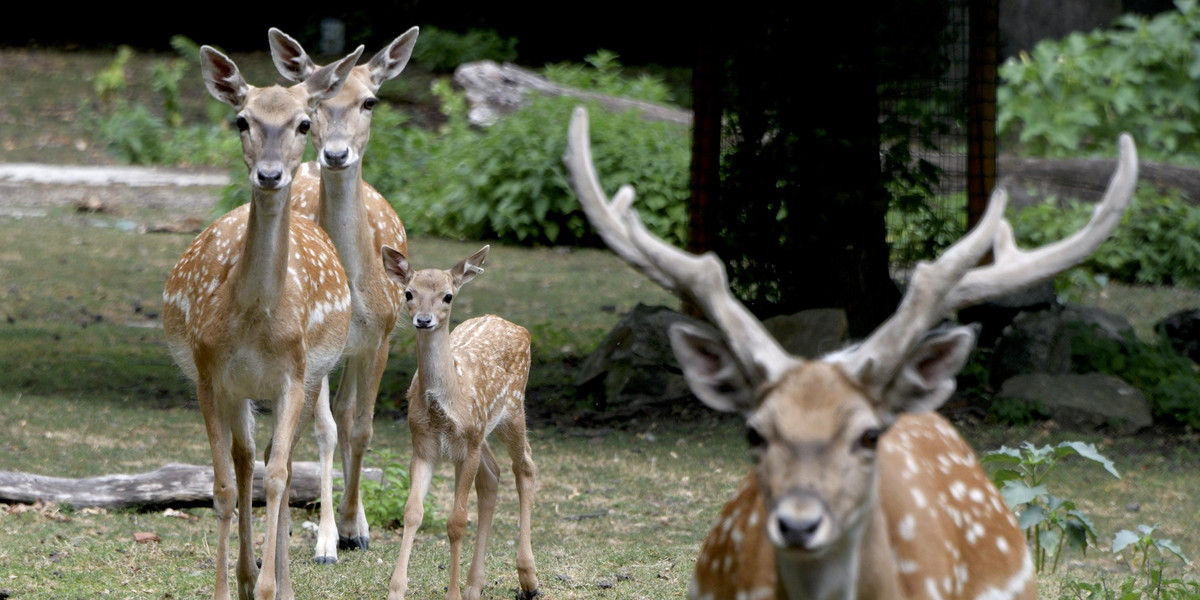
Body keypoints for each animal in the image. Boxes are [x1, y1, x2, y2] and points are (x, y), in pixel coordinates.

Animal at [162, 45, 362, 600]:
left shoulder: (294, 374)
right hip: (244, 391)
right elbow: (225, 485)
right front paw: (228, 588)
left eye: (302, 123)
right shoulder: (209, 374)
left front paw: (274, 588)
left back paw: (281, 580)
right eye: (242, 120)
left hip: (311, 377)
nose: (270, 175)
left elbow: (277, 476)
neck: (254, 319)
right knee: (247, 457)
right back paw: (247, 575)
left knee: (282, 462)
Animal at [268, 27, 422, 561]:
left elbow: (362, 425)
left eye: (369, 100)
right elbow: (326, 429)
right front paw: (327, 539)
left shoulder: (381, 337)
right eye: (314, 108)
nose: (335, 154)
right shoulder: (317, 347)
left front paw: (357, 527)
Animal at [379, 243, 540, 600]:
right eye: (408, 293)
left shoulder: (467, 446)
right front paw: (396, 590)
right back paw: (474, 584)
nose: (423, 320)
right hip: (481, 433)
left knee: (524, 466)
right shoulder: (423, 446)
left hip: (511, 411)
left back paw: (529, 577)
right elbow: (412, 513)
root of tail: (520, 328)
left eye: (448, 296)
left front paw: (451, 594)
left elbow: (456, 522)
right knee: (493, 475)